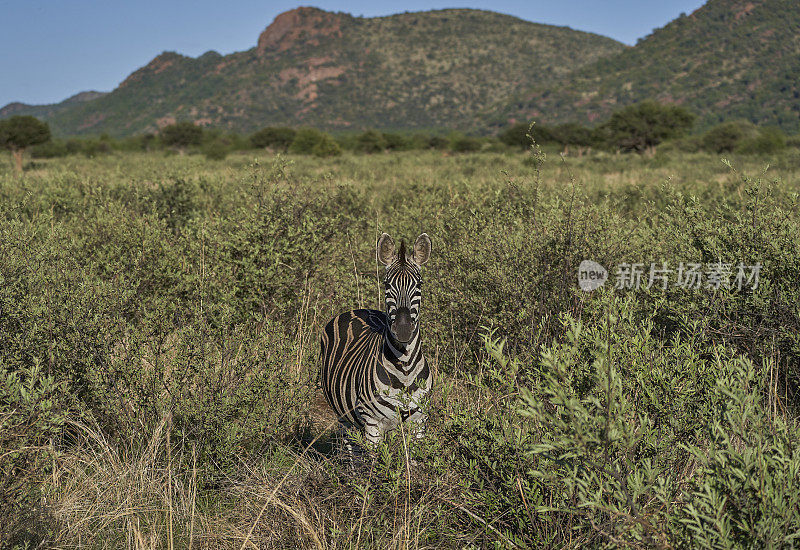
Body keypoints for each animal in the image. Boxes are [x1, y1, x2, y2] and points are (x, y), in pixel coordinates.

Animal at [320, 233, 432, 452]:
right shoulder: (372, 423)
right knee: (352, 449)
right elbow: (377, 461)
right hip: (344, 417)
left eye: (420, 284)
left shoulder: (419, 422)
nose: (403, 330)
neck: (405, 369)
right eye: (387, 285)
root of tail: (356, 309)